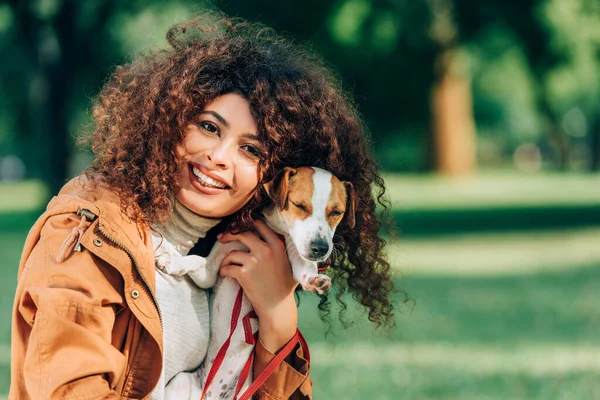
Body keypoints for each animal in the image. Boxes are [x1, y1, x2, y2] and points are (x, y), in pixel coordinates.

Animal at [162, 166, 354, 400]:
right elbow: (197, 260)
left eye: (337, 212)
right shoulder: (211, 271)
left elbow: (306, 269)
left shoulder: (295, 256)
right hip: (180, 382)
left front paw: (316, 281)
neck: (278, 232)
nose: (320, 248)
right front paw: (174, 260)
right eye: (299, 205)